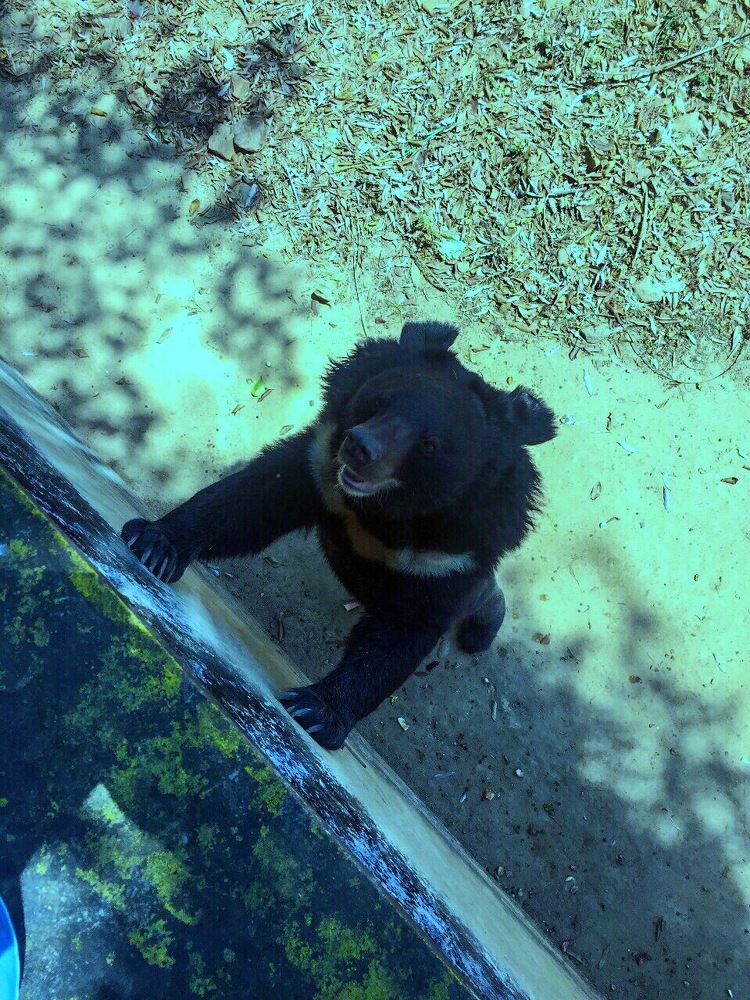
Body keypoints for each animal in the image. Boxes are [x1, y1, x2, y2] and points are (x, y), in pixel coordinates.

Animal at [121, 321, 556, 749]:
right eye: (379, 402)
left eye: (430, 444)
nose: (360, 447)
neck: (385, 511)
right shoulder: (320, 467)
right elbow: (248, 502)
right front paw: (153, 545)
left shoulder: (451, 555)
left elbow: (400, 634)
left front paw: (313, 711)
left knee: (485, 601)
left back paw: (479, 634)